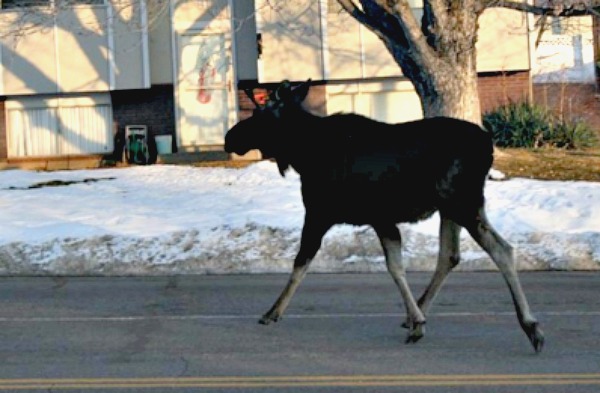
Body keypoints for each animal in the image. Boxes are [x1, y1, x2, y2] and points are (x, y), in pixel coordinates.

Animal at [224, 78, 544, 350]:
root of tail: (488, 146)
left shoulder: (321, 213)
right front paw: (416, 319)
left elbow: (302, 263)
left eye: (259, 113)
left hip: (462, 202)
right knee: (450, 255)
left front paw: (272, 311)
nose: (229, 137)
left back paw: (531, 326)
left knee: (501, 249)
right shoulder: (380, 219)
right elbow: (396, 266)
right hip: (452, 207)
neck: (303, 154)